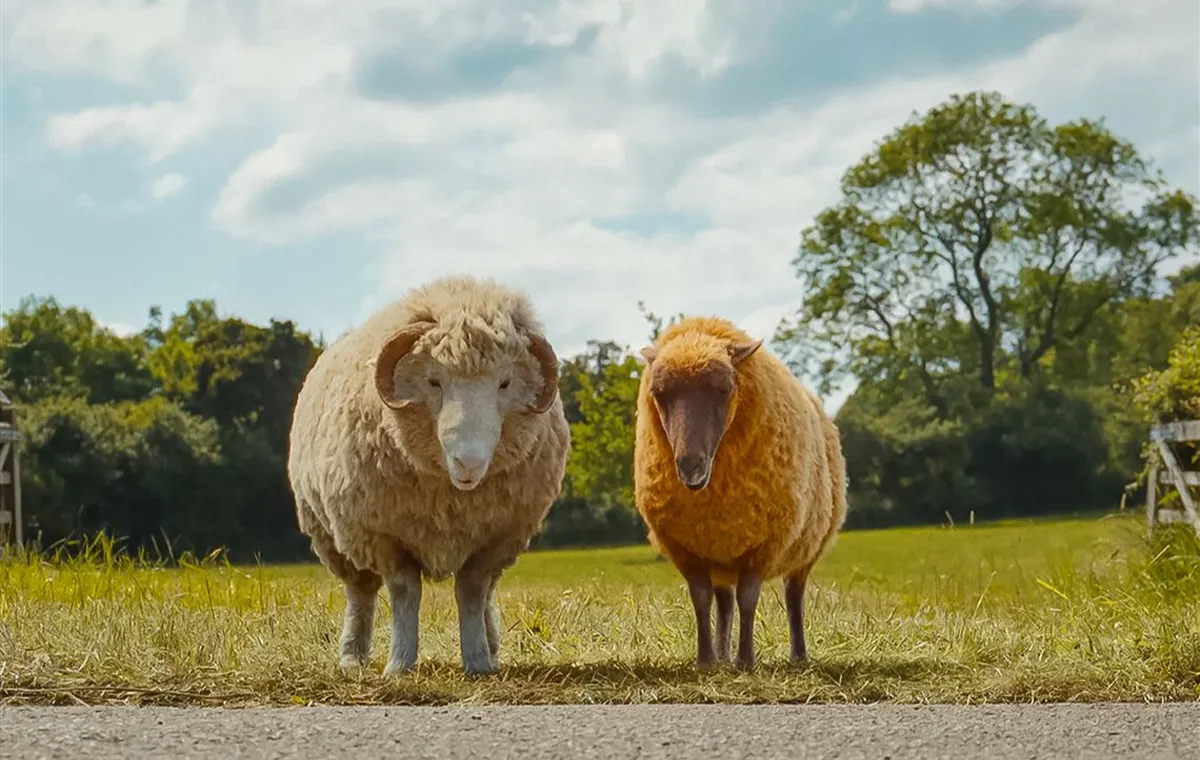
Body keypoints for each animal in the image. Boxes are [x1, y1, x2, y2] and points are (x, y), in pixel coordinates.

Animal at [286, 274, 570, 675]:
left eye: (505, 384)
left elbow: (472, 591)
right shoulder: (384, 536)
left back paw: (491, 645)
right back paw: (352, 656)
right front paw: (400, 664)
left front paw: (478, 660)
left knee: (486, 595)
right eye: (434, 381)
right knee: (360, 593)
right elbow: (406, 593)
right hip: (334, 537)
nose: (469, 463)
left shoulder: (496, 539)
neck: (451, 498)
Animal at [633, 315, 848, 670]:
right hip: (721, 553)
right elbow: (701, 599)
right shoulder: (686, 548)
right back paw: (722, 655)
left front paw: (746, 660)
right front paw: (706, 661)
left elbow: (749, 599)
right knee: (724, 602)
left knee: (794, 596)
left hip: (806, 548)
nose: (690, 465)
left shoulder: (764, 544)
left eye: (724, 390)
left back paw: (798, 655)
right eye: (659, 394)